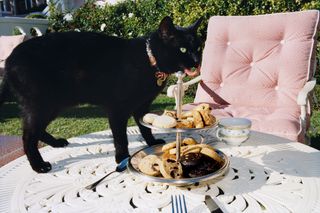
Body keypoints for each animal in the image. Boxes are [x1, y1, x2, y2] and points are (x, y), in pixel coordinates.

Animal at [0, 16, 202, 173]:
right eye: (183, 49)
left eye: (198, 48)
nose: (196, 60)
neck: (148, 59)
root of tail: (9, 59)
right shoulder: (117, 110)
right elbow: (121, 138)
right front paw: (122, 158)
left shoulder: (142, 106)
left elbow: (145, 127)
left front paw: (152, 143)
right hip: (42, 105)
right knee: (27, 136)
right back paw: (38, 165)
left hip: (53, 105)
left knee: (36, 131)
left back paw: (56, 143)